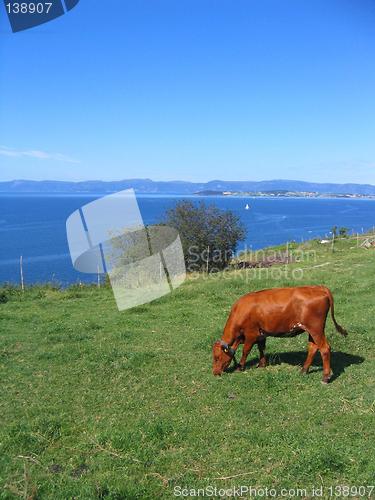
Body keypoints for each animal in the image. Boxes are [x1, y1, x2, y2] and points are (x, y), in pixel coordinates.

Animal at [213, 286, 348, 382]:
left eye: (217, 357)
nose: (214, 373)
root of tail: (319, 287)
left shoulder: (251, 334)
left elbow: (245, 351)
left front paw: (240, 367)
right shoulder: (261, 334)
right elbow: (261, 348)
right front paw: (262, 364)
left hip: (316, 329)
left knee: (325, 348)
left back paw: (325, 377)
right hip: (312, 330)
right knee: (313, 347)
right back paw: (304, 370)